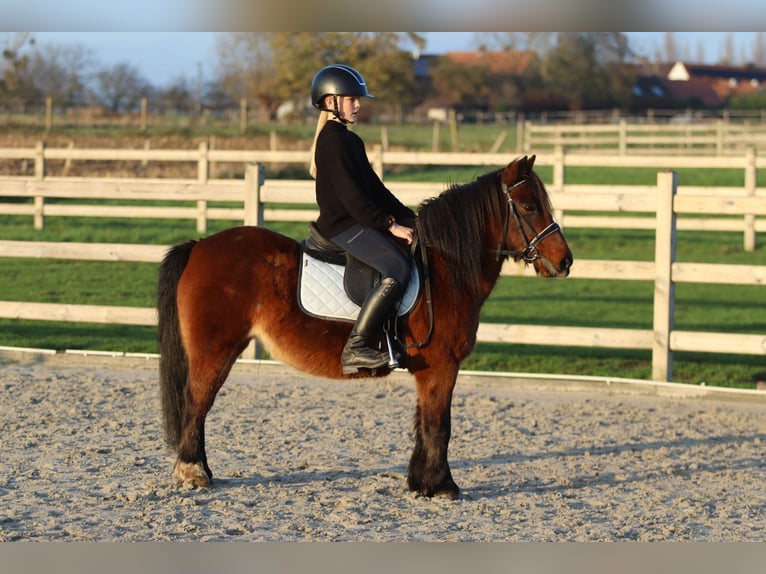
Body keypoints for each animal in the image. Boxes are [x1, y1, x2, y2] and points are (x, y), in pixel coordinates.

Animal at [157, 154, 573, 499]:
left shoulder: (429, 370)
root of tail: (199, 246)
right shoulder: (442, 366)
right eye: (530, 206)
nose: (565, 261)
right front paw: (442, 486)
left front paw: (420, 482)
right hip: (215, 350)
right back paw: (194, 472)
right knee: (198, 402)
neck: (444, 268)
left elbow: (423, 424)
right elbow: (439, 425)